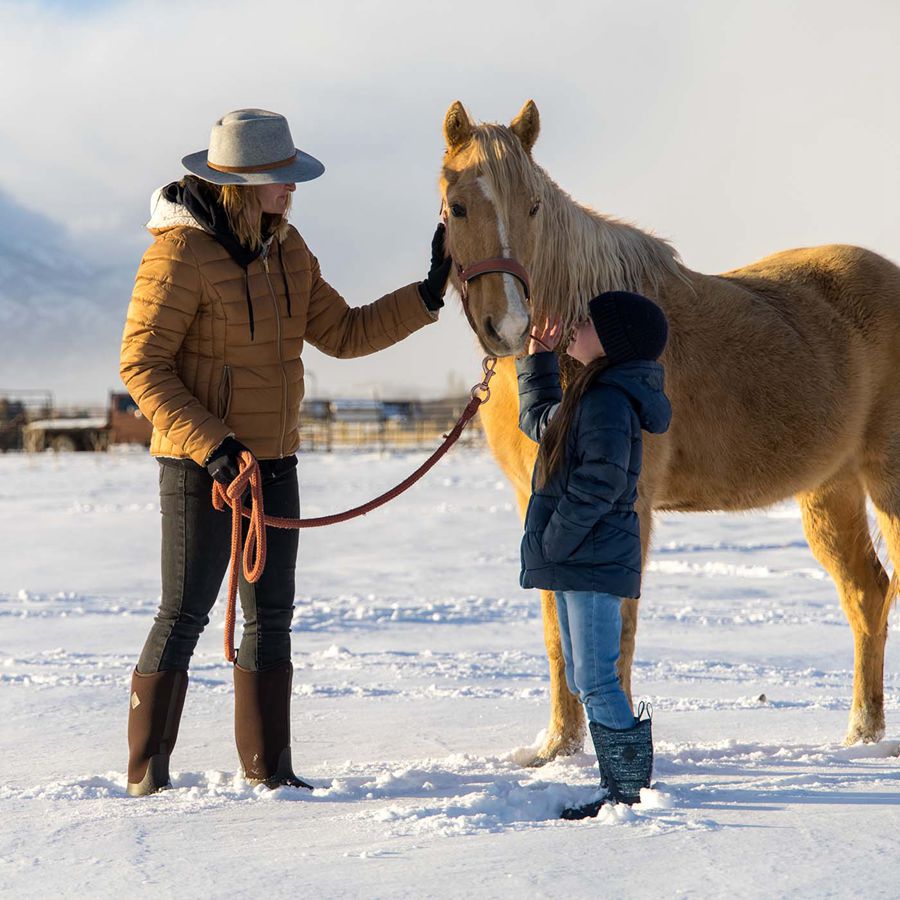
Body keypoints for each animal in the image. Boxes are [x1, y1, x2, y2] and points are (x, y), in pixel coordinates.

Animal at [440, 98, 900, 760]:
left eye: (533, 206)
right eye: (457, 206)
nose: (510, 324)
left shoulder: (627, 504)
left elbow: (616, 631)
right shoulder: (541, 502)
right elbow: (558, 633)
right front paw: (558, 750)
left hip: (885, 480)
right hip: (830, 489)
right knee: (866, 594)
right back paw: (861, 735)